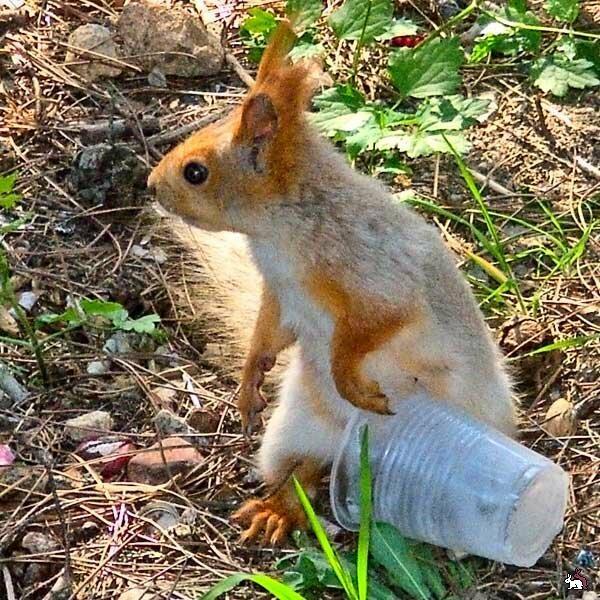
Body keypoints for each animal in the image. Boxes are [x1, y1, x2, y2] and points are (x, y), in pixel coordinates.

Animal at [146, 23, 516, 548]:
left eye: (195, 172)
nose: (151, 186)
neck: (281, 229)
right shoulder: (280, 294)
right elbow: (268, 334)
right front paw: (249, 383)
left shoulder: (376, 277)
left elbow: (367, 331)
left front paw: (350, 381)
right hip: (291, 430)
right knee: (306, 470)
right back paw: (278, 510)